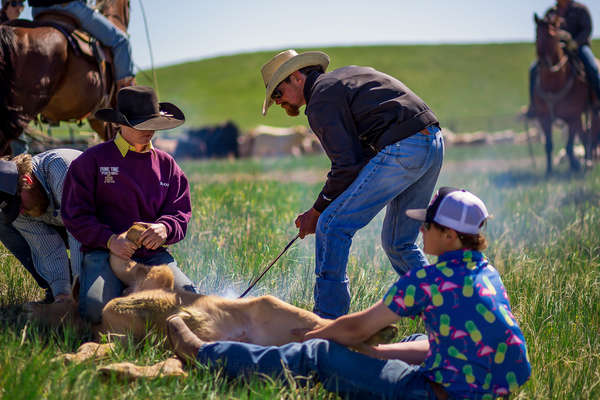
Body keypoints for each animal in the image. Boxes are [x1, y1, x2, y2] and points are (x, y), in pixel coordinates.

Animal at [532, 13, 596, 173]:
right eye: (536, 34)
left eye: (552, 35)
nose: (542, 61)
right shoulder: (544, 117)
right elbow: (549, 145)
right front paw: (549, 172)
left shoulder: (573, 116)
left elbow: (569, 145)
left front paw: (575, 167)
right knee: (584, 134)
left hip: (591, 111)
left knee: (590, 134)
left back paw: (588, 162)